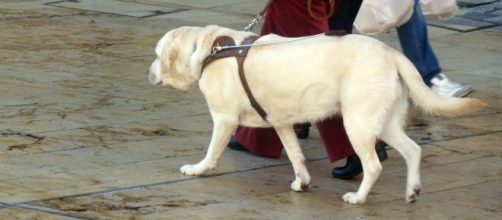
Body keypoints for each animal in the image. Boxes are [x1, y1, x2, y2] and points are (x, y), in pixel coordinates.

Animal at [147, 25, 484, 205]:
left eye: (157, 55)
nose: (147, 73)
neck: (209, 50)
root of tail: (391, 53)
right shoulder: (282, 123)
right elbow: (296, 156)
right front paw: (302, 182)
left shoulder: (224, 118)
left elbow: (212, 151)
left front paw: (198, 169)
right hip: (382, 122)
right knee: (413, 150)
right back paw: (412, 191)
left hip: (356, 122)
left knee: (374, 165)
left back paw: (358, 198)